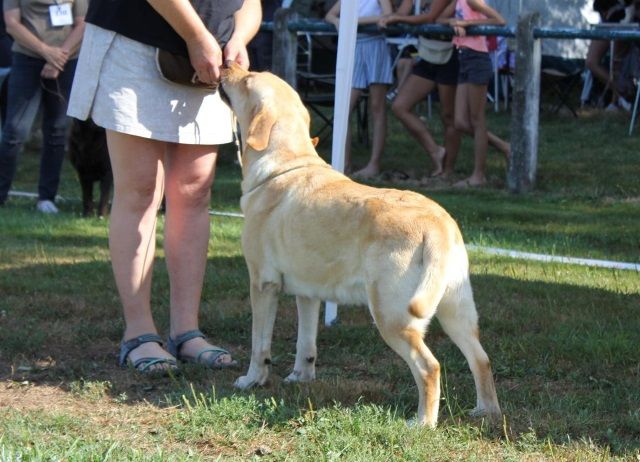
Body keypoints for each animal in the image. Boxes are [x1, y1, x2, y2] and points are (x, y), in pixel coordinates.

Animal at [220, 63, 500, 428]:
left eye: (248, 78)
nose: (226, 64)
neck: (284, 164)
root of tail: (438, 223)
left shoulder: (263, 284)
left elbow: (259, 344)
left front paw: (252, 380)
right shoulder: (308, 293)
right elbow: (305, 342)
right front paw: (300, 377)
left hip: (392, 316)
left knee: (430, 367)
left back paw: (422, 423)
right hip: (456, 311)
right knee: (481, 359)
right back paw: (487, 412)